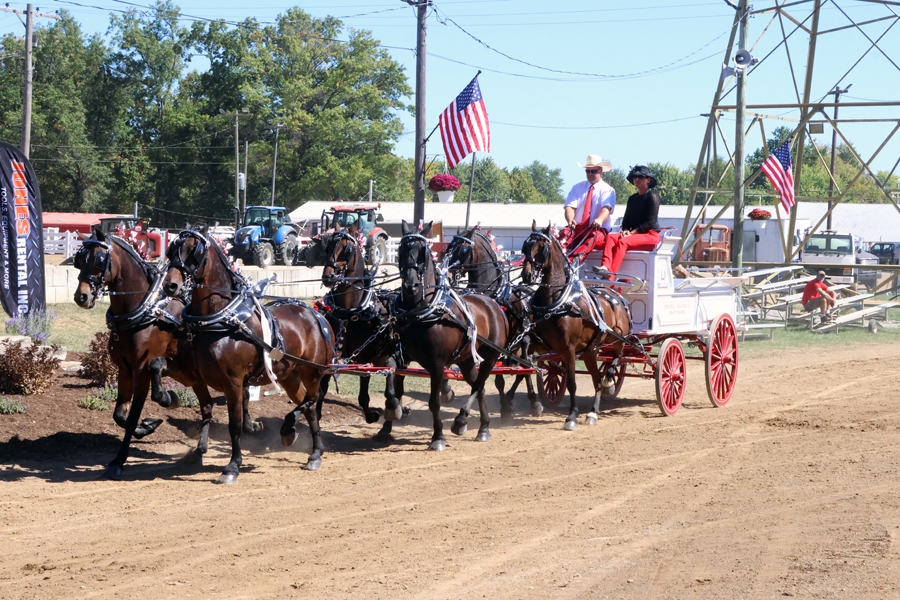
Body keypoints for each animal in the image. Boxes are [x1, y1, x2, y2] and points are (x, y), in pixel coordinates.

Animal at [73, 228, 231, 480]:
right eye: (79, 260)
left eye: (99, 259)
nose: (82, 297)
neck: (144, 311)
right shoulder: (124, 371)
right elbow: (120, 415)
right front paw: (146, 426)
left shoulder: (142, 371)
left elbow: (133, 414)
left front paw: (119, 460)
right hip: (195, 375)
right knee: (207, 405)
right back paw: (200, 448)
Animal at [161, 227, 335, 483]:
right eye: (171, 250)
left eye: (194, 251)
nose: (170, 286)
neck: (220, 319)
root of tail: (316, 315)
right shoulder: (194, 373)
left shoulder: (232, 381)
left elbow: (235, 425)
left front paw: (232, 467)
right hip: (288, 377)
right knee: (309, 405)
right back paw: (314, 452)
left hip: (312, 371)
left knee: (313, 399)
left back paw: (290, 431)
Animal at [395, 220, 509, 450]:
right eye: (401, 250)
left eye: (423, 252)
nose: (411, 285)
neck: (422, 311)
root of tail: (492, 303)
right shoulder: (405, 356)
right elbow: (395, 379)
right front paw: (394, 409)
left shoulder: (437, 363)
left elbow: (434, 402)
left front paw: (438, 437)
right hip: (466, 360)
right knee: (479, 385)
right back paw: (484, 427)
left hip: (491, 356)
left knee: (479, 384)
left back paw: (461, 420)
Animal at [444, 227, 542, 420]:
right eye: (449, 246)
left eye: (463, 249)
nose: (448, 275)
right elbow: (497, 378)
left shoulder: (495, 346)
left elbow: (498, 377)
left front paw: (505, 406)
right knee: (521, 368)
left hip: (523, 340)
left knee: (526, 366)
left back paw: (534, 401)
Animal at [520, 221, 632, 430]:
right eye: (525, 247)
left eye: (542, 248)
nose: (527, 275)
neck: (556, 302)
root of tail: (617, 295)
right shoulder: (541, 344)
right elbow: (524, 360)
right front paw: (535, 403)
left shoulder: (568, 349)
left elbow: (571, 383)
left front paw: (571, 417)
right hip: (590, 351)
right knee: (597, 379)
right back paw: (593, 412)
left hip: (618, 336)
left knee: (618, 355)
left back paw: (609, 379)